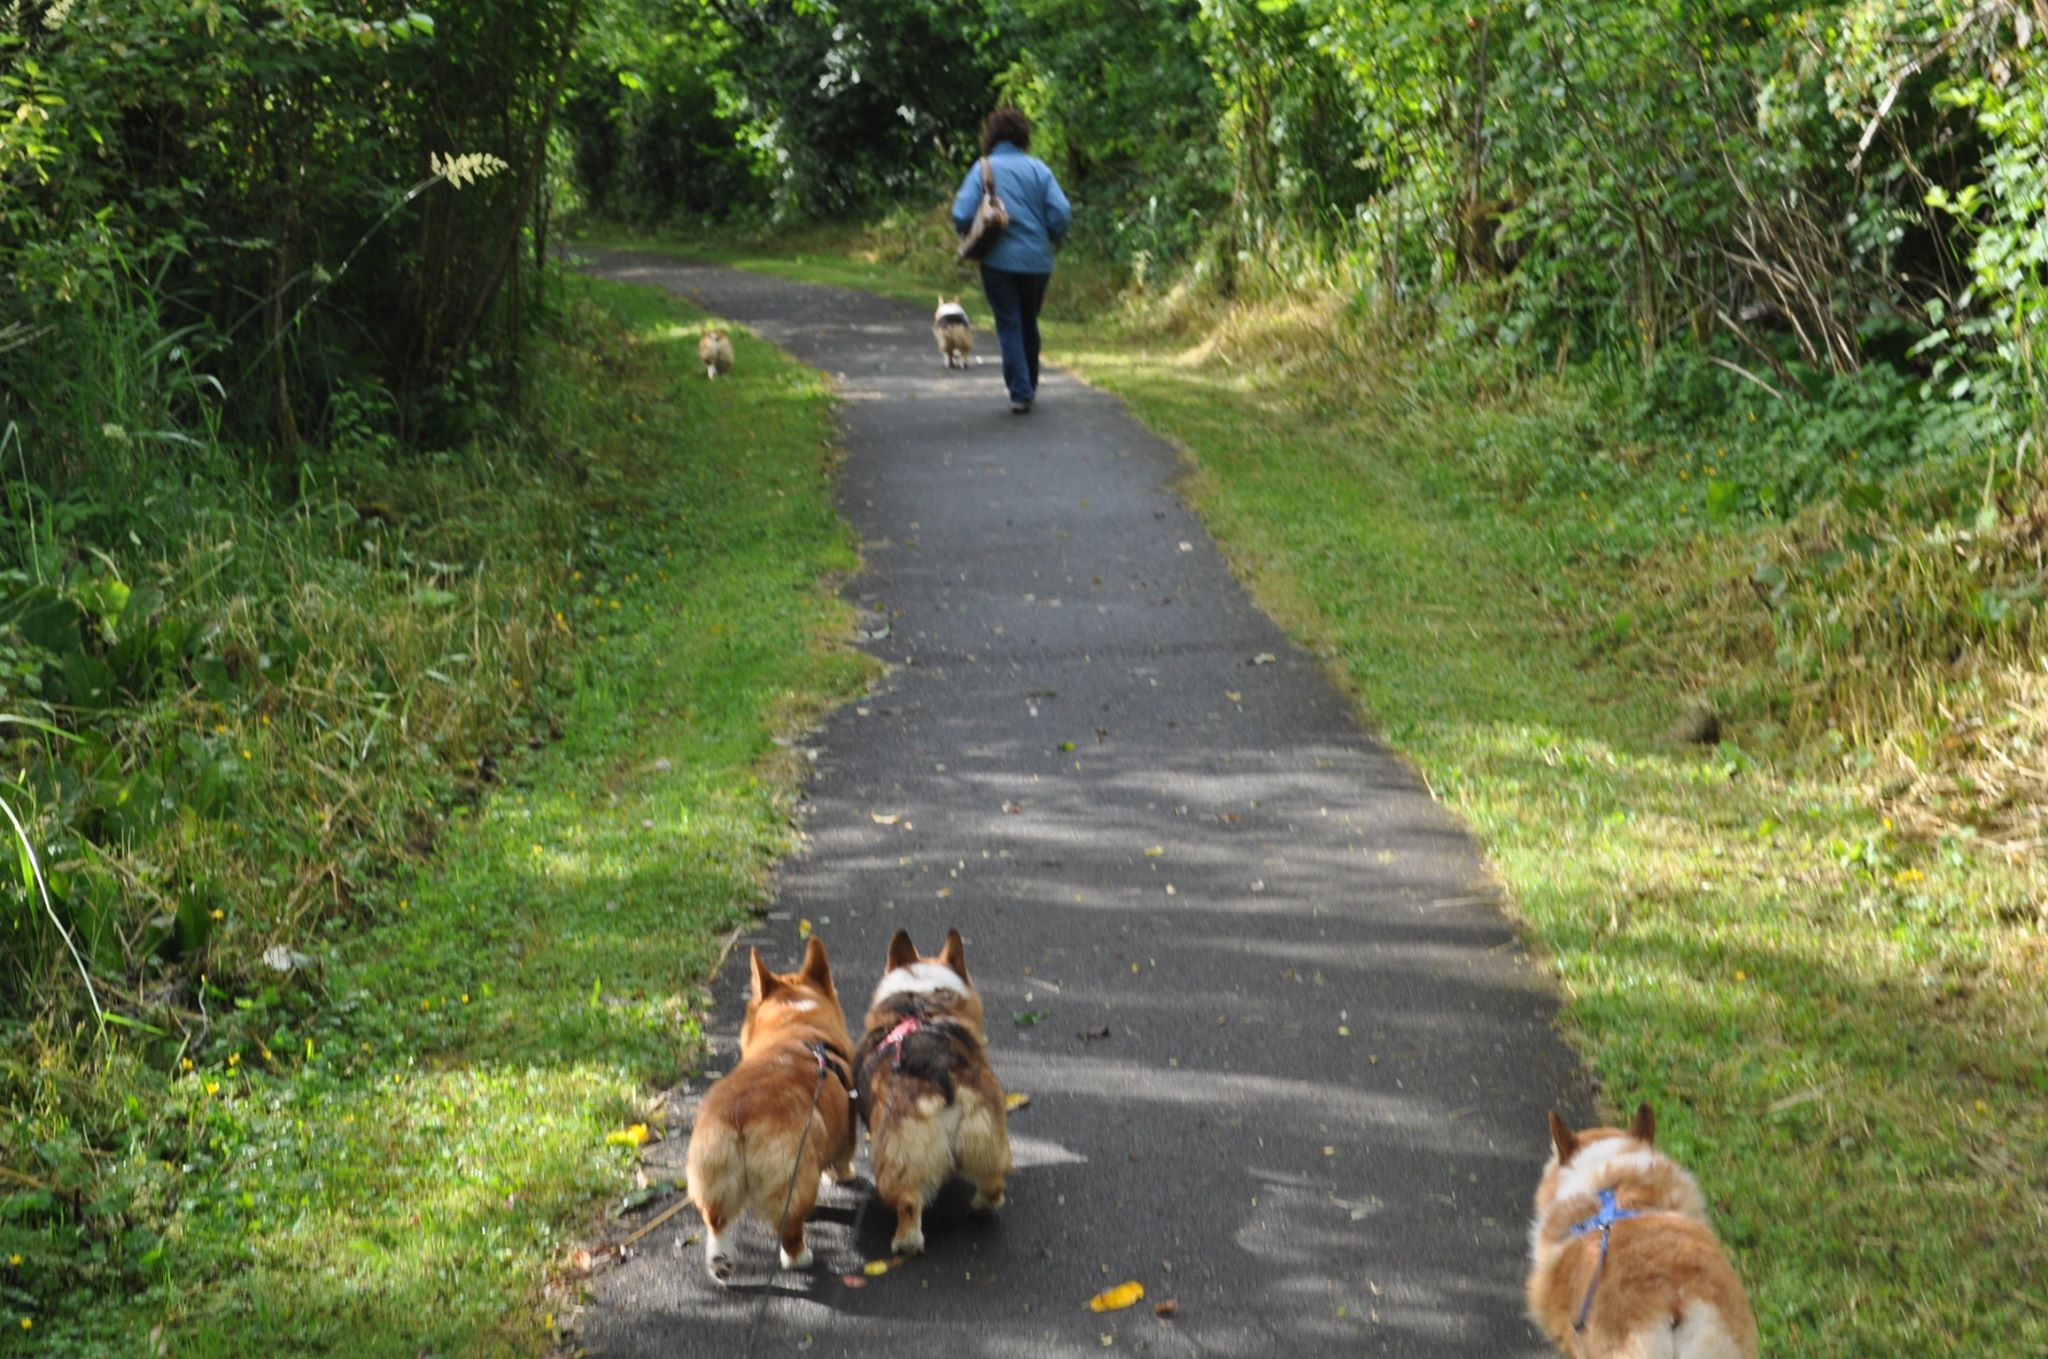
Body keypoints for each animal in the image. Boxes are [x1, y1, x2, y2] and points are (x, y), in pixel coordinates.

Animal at [684, 941, 851, 1277]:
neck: (797, 1022)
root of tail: (739, 1117)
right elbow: (843, 1158)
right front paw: (842, 1176)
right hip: (793, 1179)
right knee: (789, 1229)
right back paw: (800, 1258)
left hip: (713, 1174)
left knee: (716, 1219)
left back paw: (720, 1262)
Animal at [847, 929, 1007, 1260]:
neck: (920, 994)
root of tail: (942, 1076)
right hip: (986, 1135)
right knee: (993, 1183)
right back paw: (982, 1207)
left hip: (899, 1159)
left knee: (908, 1202)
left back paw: (905, 1243)